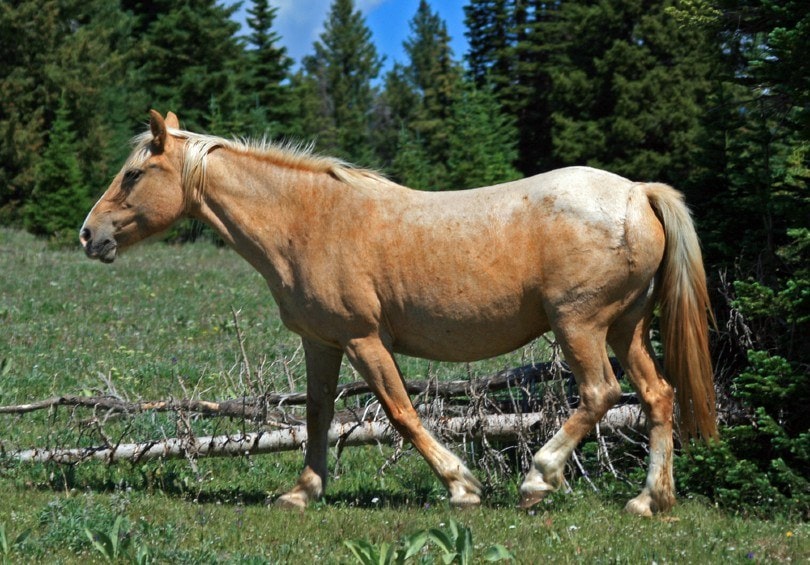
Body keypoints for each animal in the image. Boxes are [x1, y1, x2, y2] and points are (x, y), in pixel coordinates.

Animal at [80, 110, 716, 516]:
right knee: (657, 395)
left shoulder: (364, 339)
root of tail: (637, 192)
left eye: (133, 174)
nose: (89, 234)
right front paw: (303, 492)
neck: (306, 219)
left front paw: (461, 486)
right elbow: (316, 415)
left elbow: (402, 412)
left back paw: (539, 478)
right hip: (625, 328)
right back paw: (650, 500)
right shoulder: (323, 342)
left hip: (579, 326)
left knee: (600, 394)